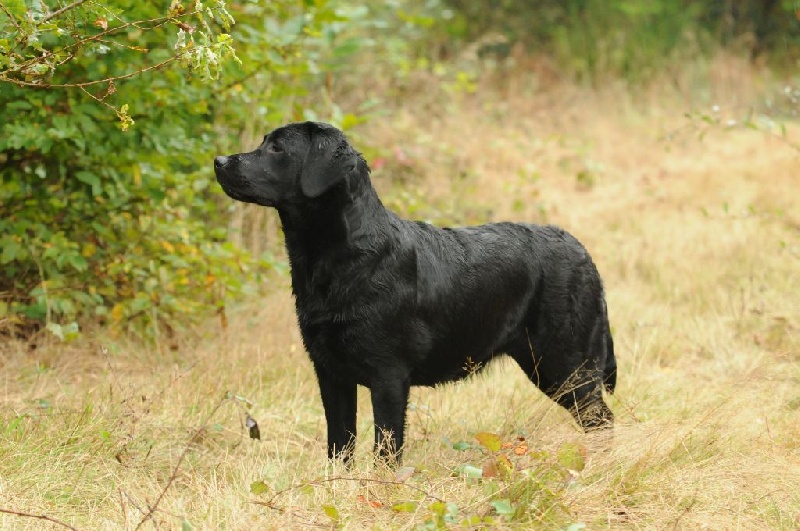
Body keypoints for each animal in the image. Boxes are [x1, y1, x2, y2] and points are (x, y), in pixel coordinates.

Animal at [214, 122, 620, 464]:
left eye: (277, 148)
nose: (219, 160)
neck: (341, 259)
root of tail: (584, 252)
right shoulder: (330, 373)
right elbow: (340, 444)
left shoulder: (389, 376)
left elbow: (386, 449)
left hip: (566, 363)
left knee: (602, 419)